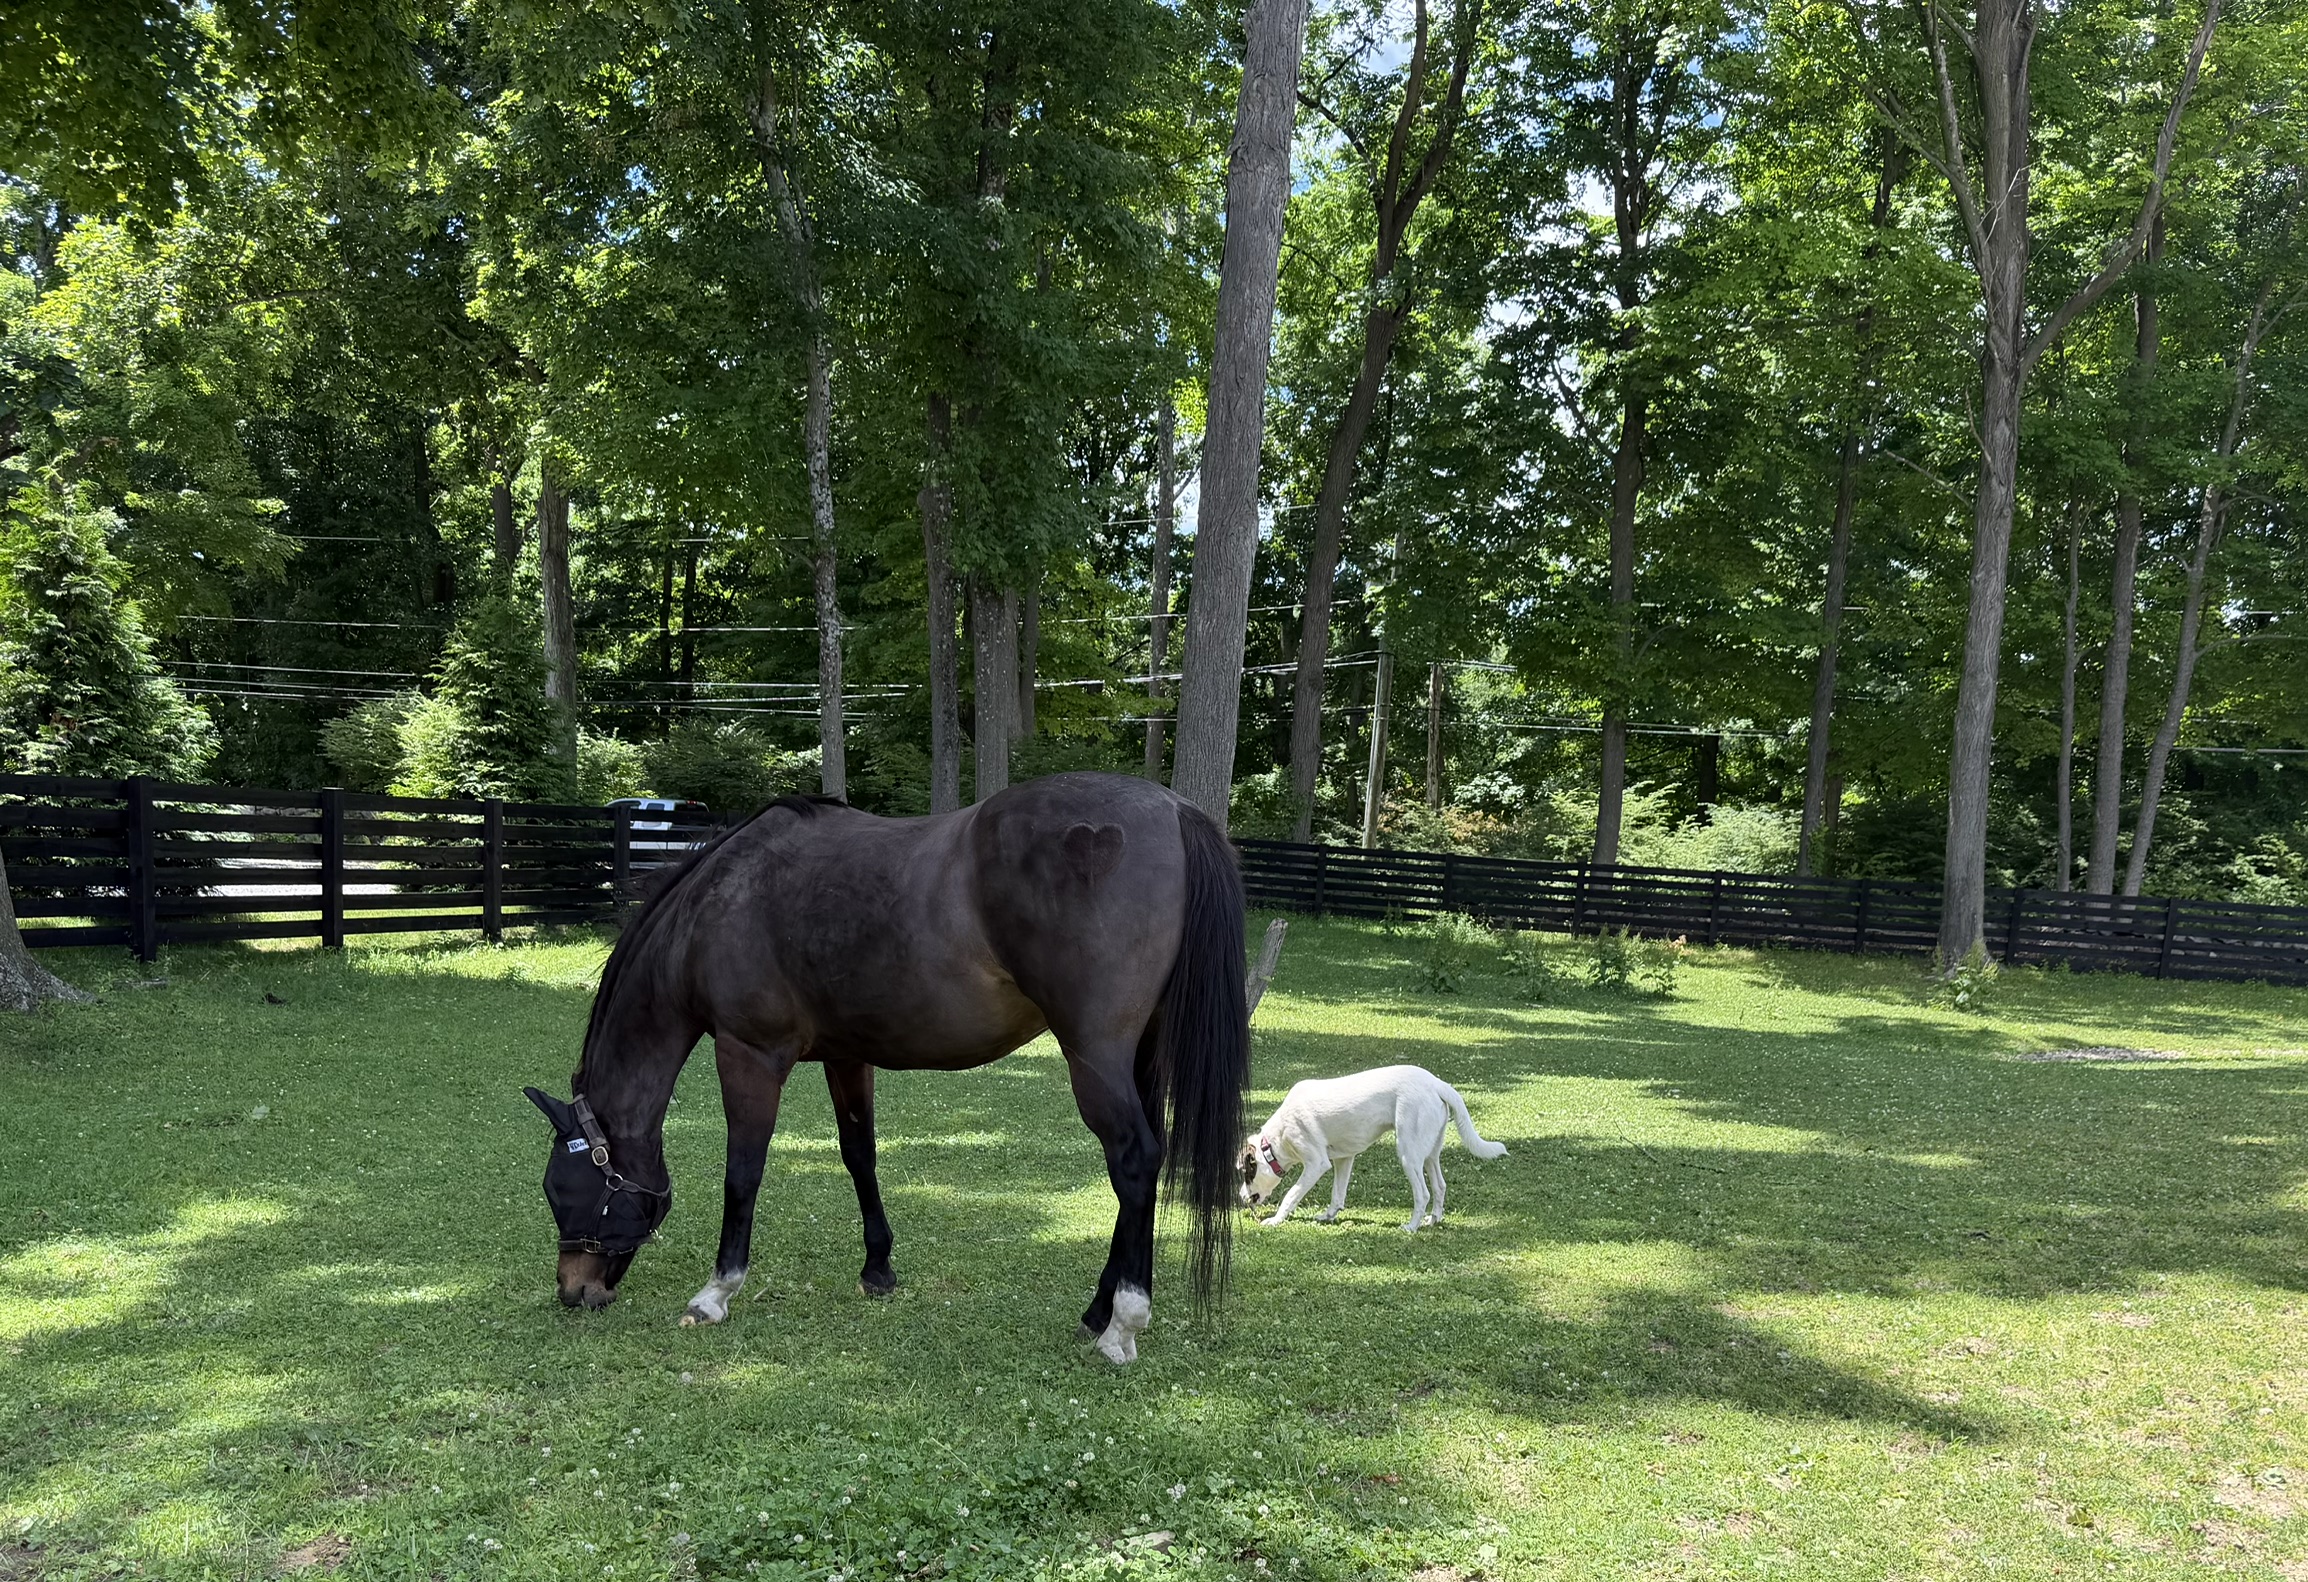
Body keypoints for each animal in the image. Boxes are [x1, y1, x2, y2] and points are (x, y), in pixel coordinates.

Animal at [521, 771, 1250, 1364]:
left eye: (563, 1189)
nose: (573, 1290)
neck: (718, 904)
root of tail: (1172, 809)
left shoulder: (748, 1054)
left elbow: (743, 1172)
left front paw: (717, 1292)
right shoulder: (847, 1055)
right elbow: (859, 1155)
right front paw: (878, 1269)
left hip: (1094, 1055)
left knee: (1133, 1160)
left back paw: (1121, 1324)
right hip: (1140, 1055)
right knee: (1143, 1169)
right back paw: (1098, 1310)